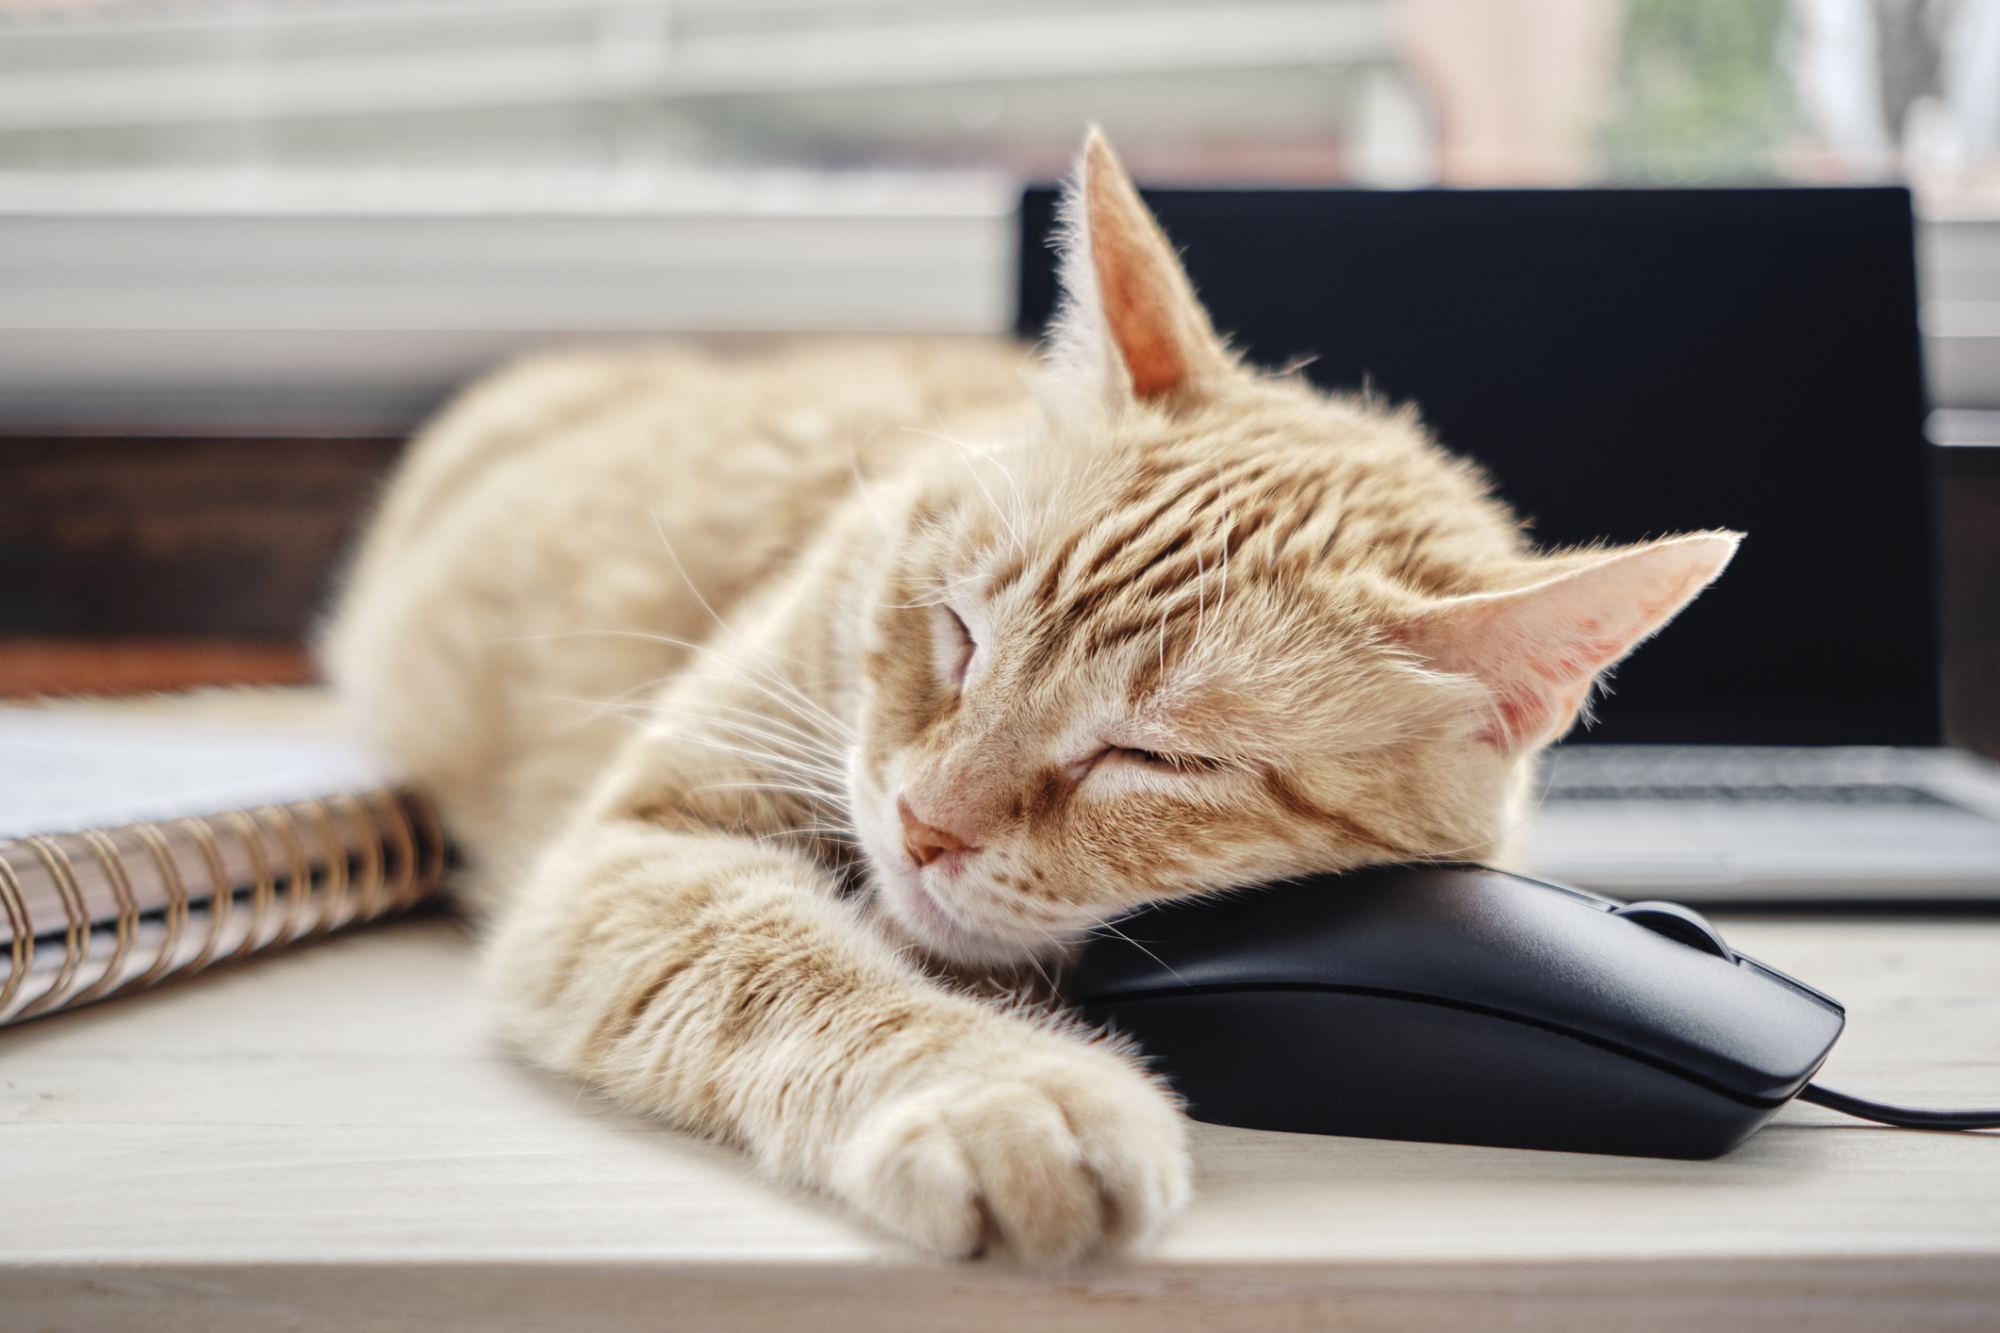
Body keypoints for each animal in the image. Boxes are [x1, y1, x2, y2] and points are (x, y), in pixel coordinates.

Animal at [324, 130, 1736, 1264]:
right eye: (958, 633)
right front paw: (1003, 1094)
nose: (920, 825)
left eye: (1157, 762)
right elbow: (790, 971)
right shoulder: (648, 840)